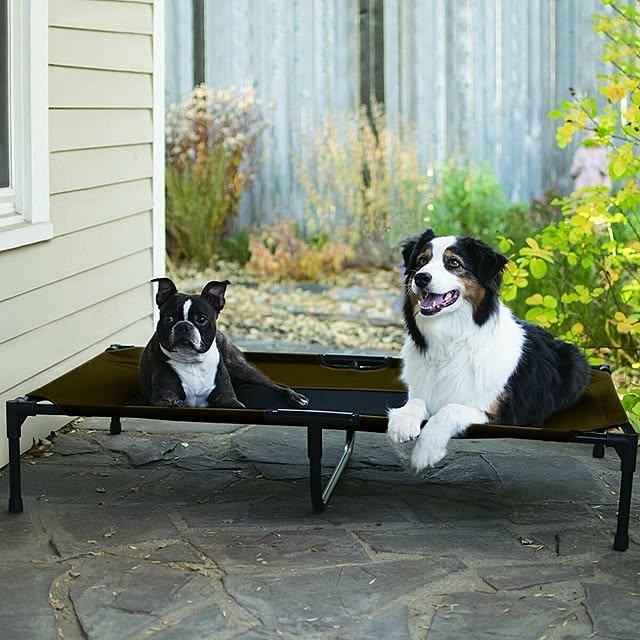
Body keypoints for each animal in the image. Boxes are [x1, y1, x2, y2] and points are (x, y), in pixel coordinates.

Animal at [384, 229, 592, 470]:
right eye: (421, 261)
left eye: (454, 263)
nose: (421, 277)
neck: (451, 342)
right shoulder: (422, 390)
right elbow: (415, 401)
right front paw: (402, 422)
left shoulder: (502, 416)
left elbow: (450, 409)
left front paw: (427, 450)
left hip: (576, 363)